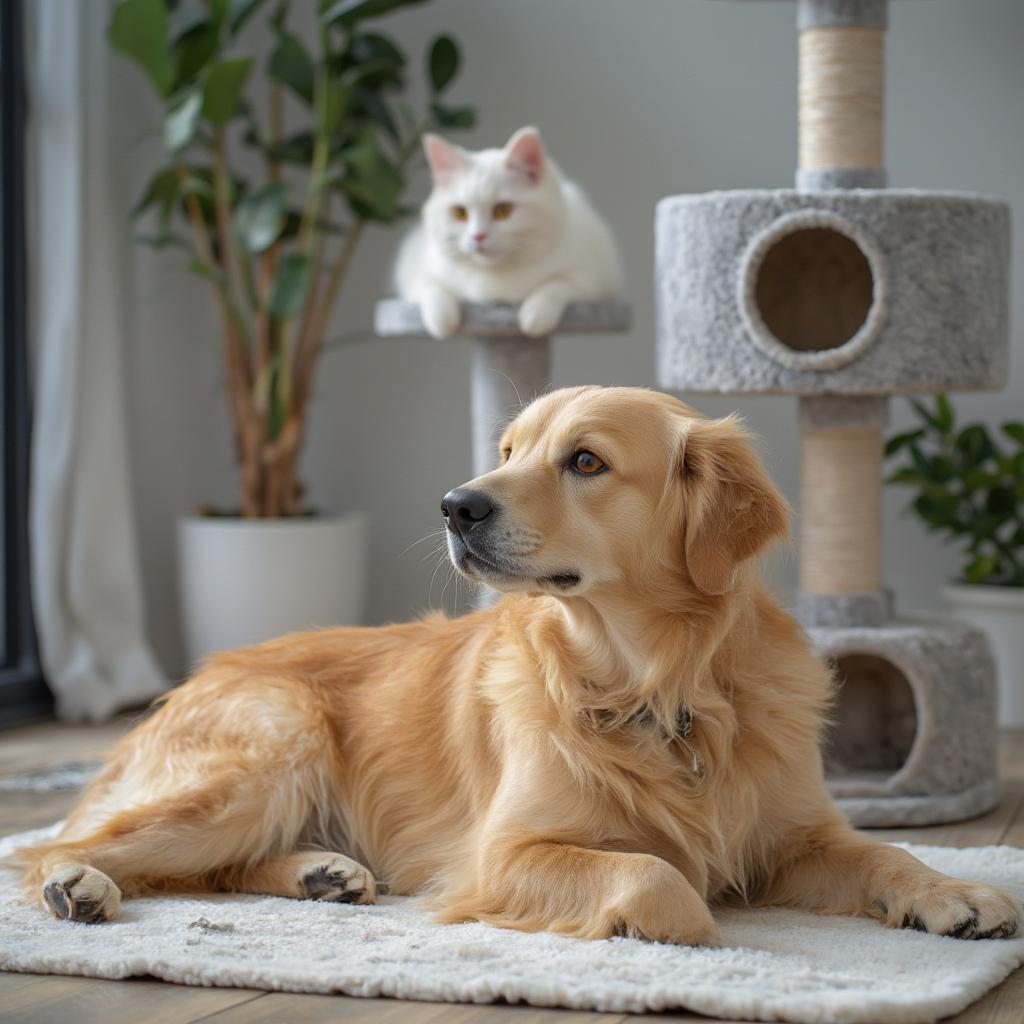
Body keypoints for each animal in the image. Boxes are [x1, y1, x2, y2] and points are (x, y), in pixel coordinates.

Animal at [393, 125, 618, 337]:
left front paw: (534, 315)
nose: (478, 236)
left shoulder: (592, 281)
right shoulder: (416, 274)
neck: (495, 282)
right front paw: (442, 321)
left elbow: (558, 284)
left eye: (503, 210)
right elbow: (431, 287)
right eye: (460, 213)